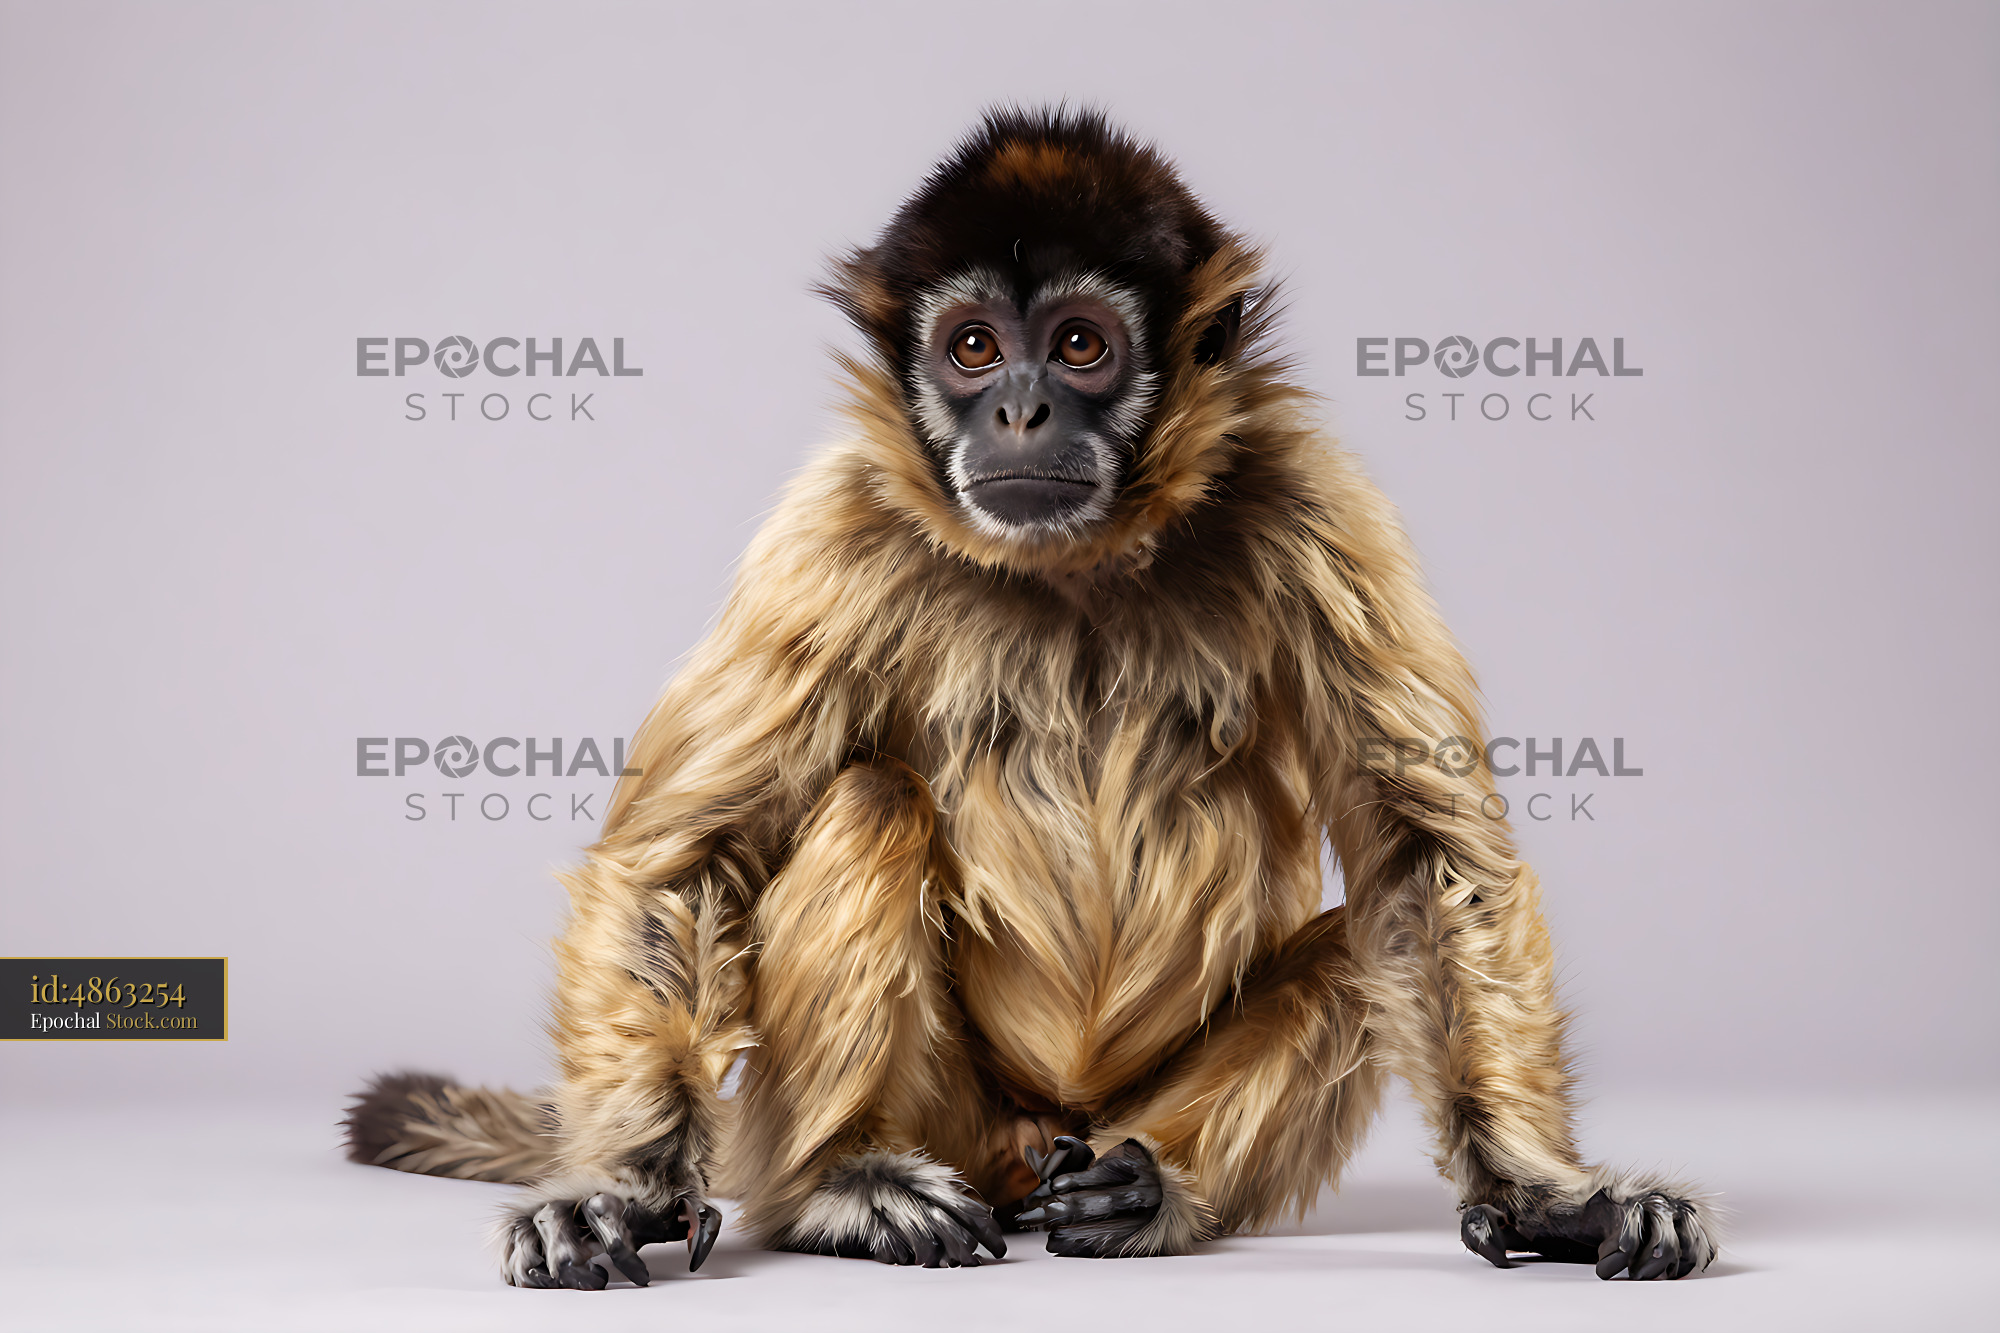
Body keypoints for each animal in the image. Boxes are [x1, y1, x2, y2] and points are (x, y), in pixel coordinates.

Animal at [344, 107, 1718, 1288]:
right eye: (968, 346)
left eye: (1077, 344)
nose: (1018, 406)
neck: (1075, 569)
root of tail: (1040, 1129)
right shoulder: (837, 522)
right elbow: (682, 862)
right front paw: (622, 1192)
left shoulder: (1307, 493)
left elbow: (1428, 865)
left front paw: (1548, 1195)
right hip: (955, 1112)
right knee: (871, 803)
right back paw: (842, 1187)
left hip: (1112, 1107)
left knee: (1349, 946)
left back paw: (1143, 1190)